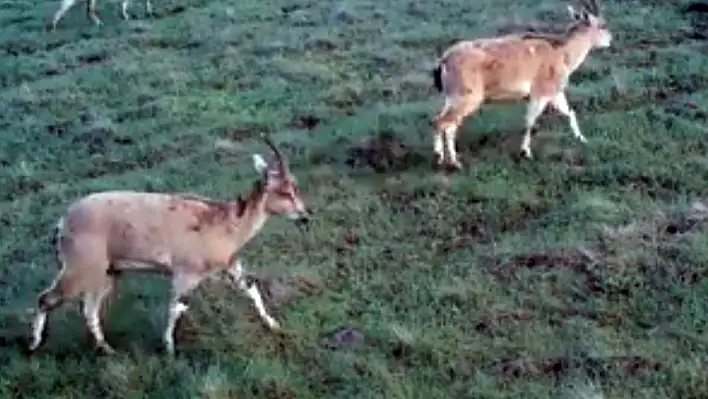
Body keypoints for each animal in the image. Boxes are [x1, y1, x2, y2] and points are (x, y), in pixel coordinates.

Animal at [28, 136, 310, 354]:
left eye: (294, 187)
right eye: (284, 192)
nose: (305, 216)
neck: (226, 222)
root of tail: (63, 223)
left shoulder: (230, 264)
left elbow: (251, 289)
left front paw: (273, 325)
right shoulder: (186, 273)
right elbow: (176, 307)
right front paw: (170, 349)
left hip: (108, 272)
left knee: (89, 309)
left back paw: (107, 349)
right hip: (80, 267)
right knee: (46, 298)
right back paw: (33, 344)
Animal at [428, 0, 612, 170]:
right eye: (602, 25)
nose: (610, 40)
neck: (562, 53)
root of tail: (443, 61)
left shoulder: (555, 92)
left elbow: (569, 112)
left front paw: (582, 139)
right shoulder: (541, 91)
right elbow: (530, 120)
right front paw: (526, 152)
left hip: (452, 96)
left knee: (447, 123)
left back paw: (447, 158)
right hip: (467, 96)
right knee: (442, 122)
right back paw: (447, 160)